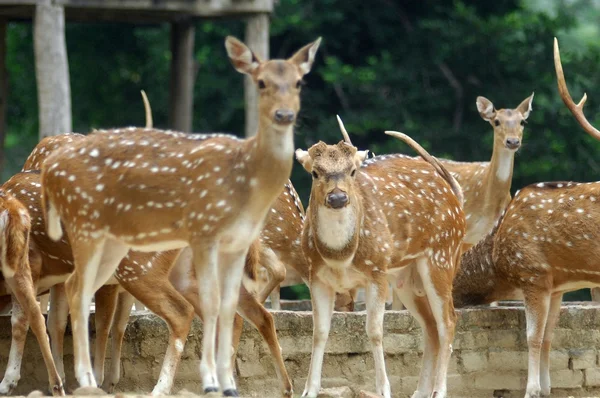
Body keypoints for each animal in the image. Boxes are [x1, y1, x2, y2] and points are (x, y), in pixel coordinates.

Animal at [298, 119, 466, 398]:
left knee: (448, 322)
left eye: (353, 171)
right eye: (314, 172)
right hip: (405, 279)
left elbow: (375, 331)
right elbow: (319, 332)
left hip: (442, 256)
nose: (337, 197)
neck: (339, 256)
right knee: (430, 327)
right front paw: (308, 391)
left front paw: (384, 389)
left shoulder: (376, 271)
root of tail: (457, 199)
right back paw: (419, 392)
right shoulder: (316, 276)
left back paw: (438, 391)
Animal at [454, 37, 600, 398]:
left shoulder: (535, 273)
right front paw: (545, 387)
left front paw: (532, 388)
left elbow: (534, 337)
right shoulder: (554, 282)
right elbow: (546, 338)